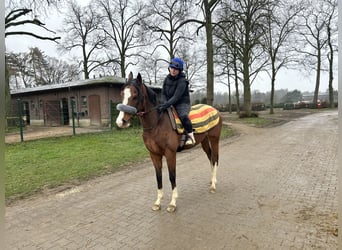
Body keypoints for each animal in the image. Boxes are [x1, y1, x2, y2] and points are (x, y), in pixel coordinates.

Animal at [116, 72, 223, 213]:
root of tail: (215, 110)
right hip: (204, 141)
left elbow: (172, 176)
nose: (121, 121)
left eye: (135, 95)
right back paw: (211, 181)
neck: (157, 123)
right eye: (122, 93)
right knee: (210, 158)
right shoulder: (154, 155)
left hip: (214, 139)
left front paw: (172, 203)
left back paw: (214, 185)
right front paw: (157, 202)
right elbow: (158, 177)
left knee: (215, 159)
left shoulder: (170, 153)